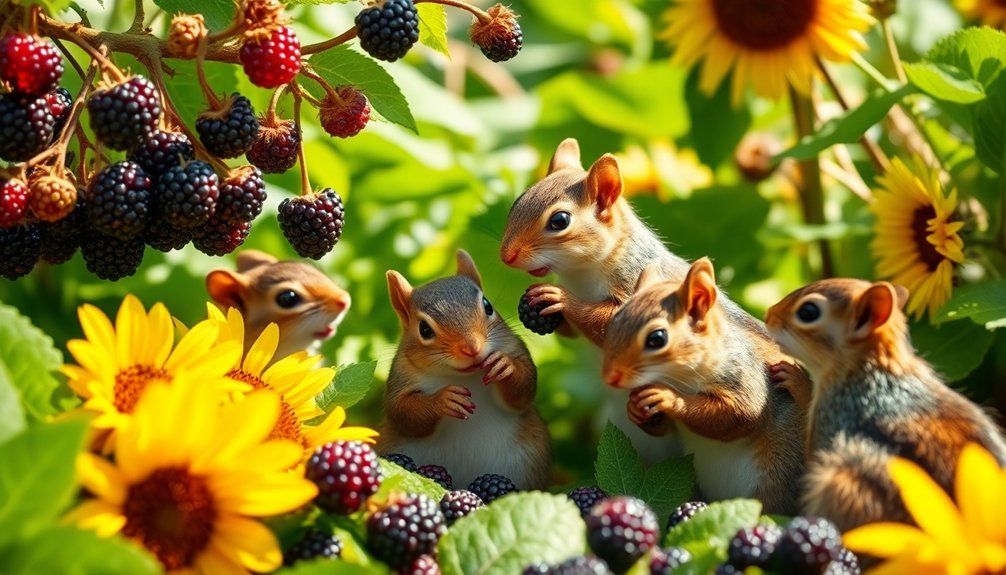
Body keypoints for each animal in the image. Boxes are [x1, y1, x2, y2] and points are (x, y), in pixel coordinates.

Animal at [378, 249, 552, 489]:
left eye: (488, 305)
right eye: (424, 329)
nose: (472, 348)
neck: (465, 376)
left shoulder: (517, 349)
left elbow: (524, 391)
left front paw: (506, 366)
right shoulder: (400, 378)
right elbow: (403, 412)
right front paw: (443, 400)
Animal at [602, 258, 806, 515]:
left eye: (657, 338)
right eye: (613, 322)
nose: (609, 376)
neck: (678, 377)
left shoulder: (743, 376)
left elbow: (741, 415)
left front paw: (668, 398)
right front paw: (636, 409)